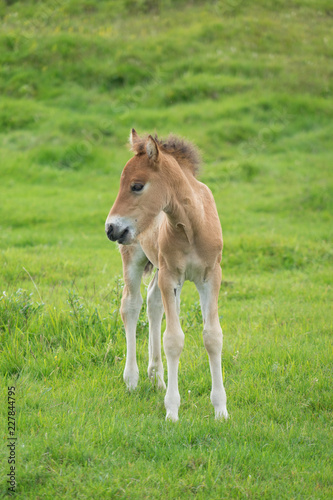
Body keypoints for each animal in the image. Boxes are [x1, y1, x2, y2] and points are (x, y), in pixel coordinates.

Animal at [105, 130, 227, 422]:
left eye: (137, 186)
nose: (110, 227)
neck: (192, 225)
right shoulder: (170, 276)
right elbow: (173, 339)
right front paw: (172, 410)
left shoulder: (210, 277)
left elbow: (213, 337)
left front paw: (221, 410)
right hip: (134, 257)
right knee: (131, 305)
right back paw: (133, 379)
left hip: (163, 271)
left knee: (153, 303)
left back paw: (157, 378)